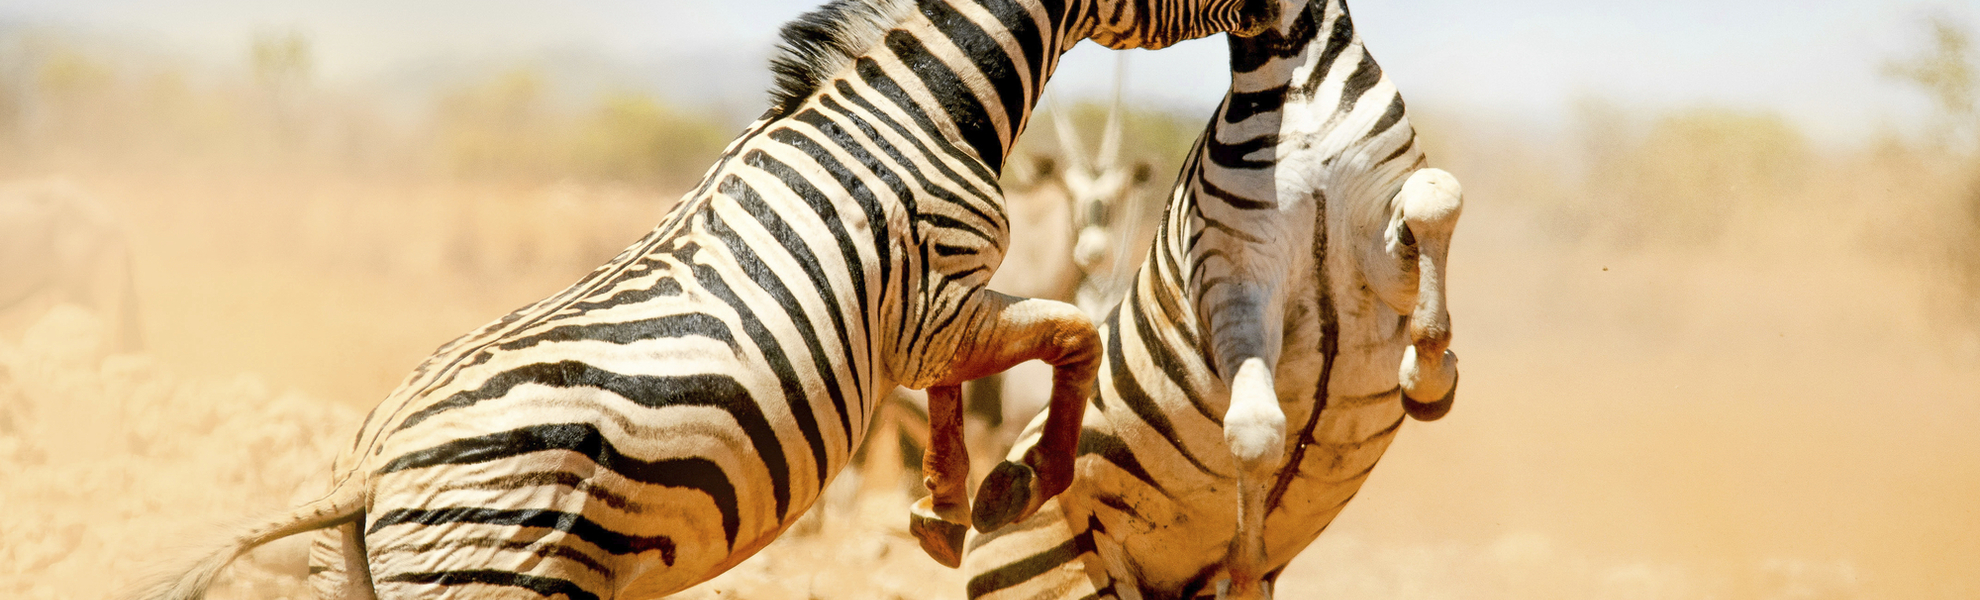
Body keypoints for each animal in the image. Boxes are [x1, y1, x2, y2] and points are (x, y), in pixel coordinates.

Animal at [128, 1, 1285, 599]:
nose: (1277, 9)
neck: (920, 106)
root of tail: (364, 474)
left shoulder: (931, 321)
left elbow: (970, 390)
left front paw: (943, 508)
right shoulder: (938, 301)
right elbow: (1075, 334)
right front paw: (1016, 486)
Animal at [960, 0, 1462, 597]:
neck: (1291, 71)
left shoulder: (1379, 250)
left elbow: (1437, 196)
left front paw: (1430, 378)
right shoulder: (1232, 275)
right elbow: (1256, 430)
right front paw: (1243, 567)